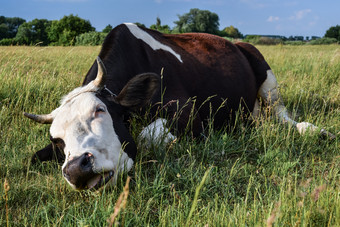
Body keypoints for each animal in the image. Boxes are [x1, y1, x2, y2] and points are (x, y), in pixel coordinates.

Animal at [23, 23, 334, 191]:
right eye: (57, 141)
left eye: (100, 111)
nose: (76, 169)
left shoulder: (189, 113)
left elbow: (148, 135)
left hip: (266, 76)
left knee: (282, 115)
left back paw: (315, 131)